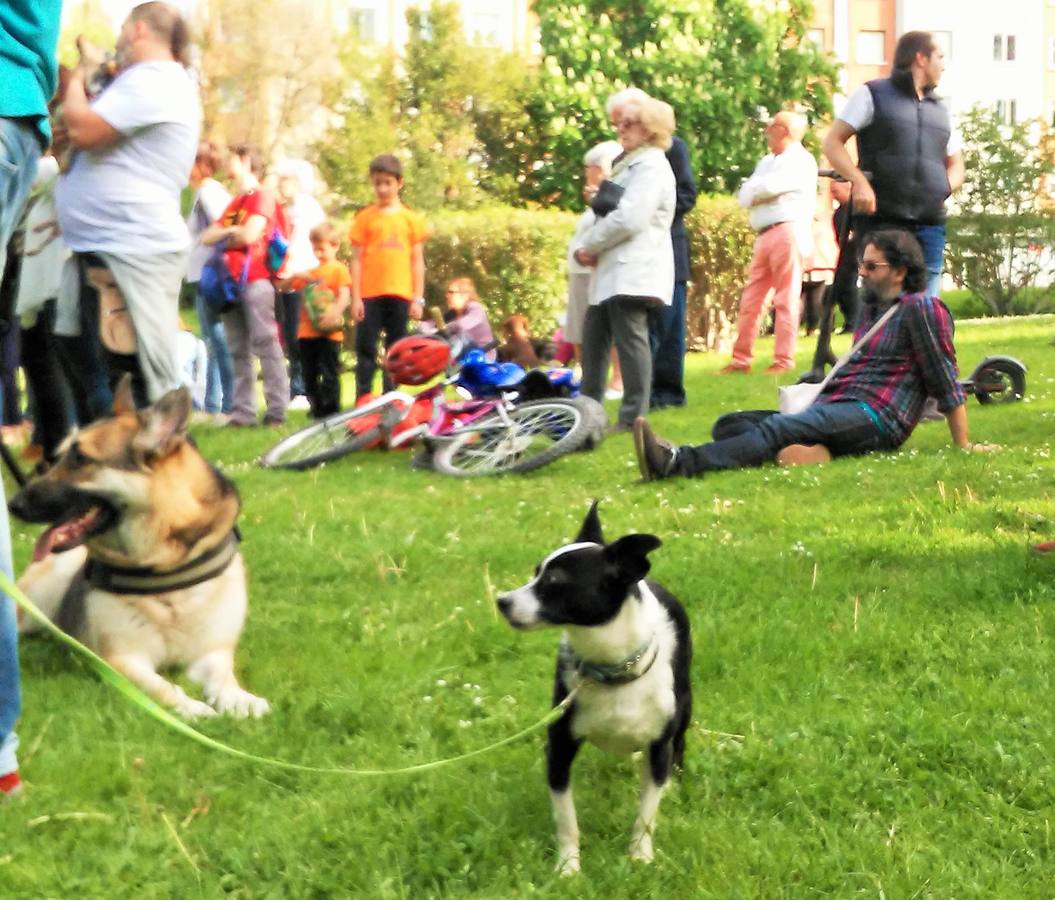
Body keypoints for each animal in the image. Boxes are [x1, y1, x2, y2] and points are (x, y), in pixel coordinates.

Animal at [9, 377, 267, 717]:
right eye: (60, 457)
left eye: (80, 458)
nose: (13, 504)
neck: (164, 566)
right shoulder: (123, 661)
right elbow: (163, 688)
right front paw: (190, 707)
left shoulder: (211, 655)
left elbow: (223, 678)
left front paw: (238, 698)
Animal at [495, 502, 692, 873]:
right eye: (535, 573)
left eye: (555, 580)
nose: (502, 600)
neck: (611, 669)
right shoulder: (559, 748)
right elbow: (566, 819)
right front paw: (568, 867)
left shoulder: (659, 745)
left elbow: (646, 814)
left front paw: (640, 856)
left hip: (685, 706)